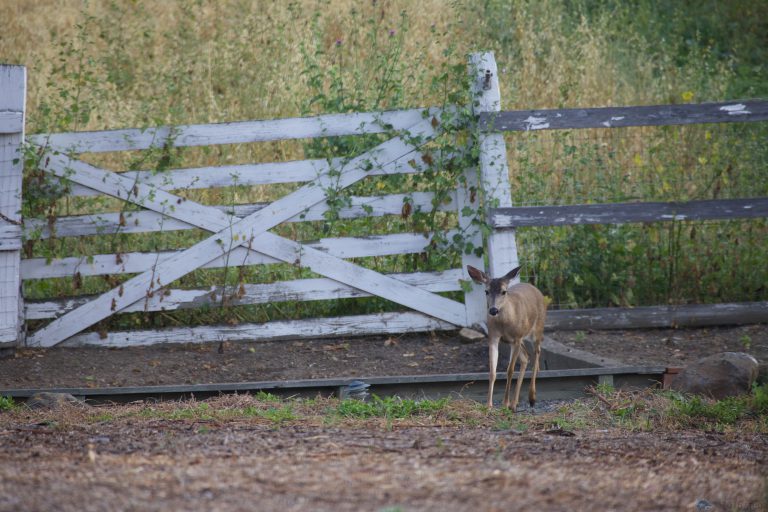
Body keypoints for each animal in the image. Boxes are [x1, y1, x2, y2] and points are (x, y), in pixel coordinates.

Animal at [467, 265, 546, 411]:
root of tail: (534, 288)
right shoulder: (494, 337)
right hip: (514, 340)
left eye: (504, 292)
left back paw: (531, 398)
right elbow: (492, 372)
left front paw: (505, 403)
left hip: (537, 328)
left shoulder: (517, 338)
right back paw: (515, 403)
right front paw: (489, 405)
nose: (493, 310)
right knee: (526, 357)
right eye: (486, 291)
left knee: (537, 353)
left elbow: (510, 370)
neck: (505, 323)